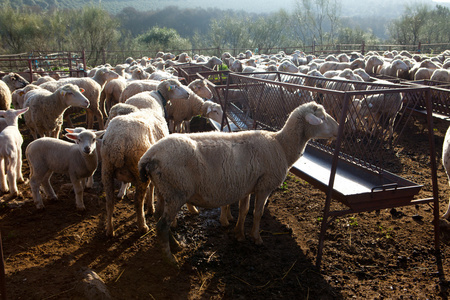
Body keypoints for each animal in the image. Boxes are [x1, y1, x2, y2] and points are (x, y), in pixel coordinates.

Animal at [102, 79, 190, 237]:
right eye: (176, 86)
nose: (188, 94)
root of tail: (119, 142)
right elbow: (153, 188)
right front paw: (150, 208)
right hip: (137, 171)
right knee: (138, 201)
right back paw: (142, 226)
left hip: (106, 169)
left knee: (109, 201)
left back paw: (110, 230)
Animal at [139, 101, 340, 264]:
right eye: (322, 117)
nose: (339, 128)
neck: (282, 145)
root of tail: (149, 155)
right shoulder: (264, 186)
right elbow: (257, 213)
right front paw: (256, 238)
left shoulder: (247, 185)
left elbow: (244, 210)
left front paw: (239, 234)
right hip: (176, 191)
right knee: (162, 225)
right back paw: (170, 258)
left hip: (164, 190)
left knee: (159, 219)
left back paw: (175, 246)